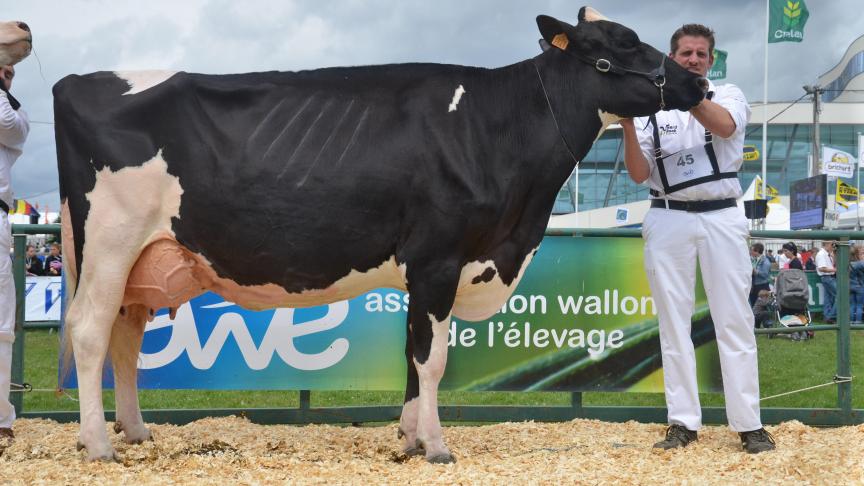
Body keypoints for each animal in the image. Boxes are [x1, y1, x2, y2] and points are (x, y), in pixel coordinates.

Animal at [52, 7, 704, 464]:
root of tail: (75, 80)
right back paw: (99, 445)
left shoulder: (427, 271)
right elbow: (432, 359)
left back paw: (136, 432)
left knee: (125, 338)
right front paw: (437, 446)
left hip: (142, 259)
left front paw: (410, 438)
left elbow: (413, 357)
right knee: (89, 331)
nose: (696, 83)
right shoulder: (438, 259)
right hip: (110, 241)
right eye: (619, 44)